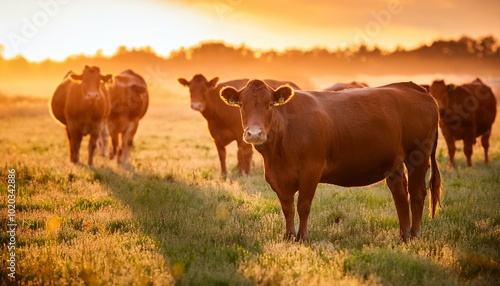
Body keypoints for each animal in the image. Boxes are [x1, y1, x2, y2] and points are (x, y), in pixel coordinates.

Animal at [221, 80, 444, 241]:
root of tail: (412, 87)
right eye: (241, 105)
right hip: (395, 161)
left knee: (417, 194)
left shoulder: (311, 169)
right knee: (400, 194)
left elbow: (303, 205)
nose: (254, 133)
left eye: (269, 104)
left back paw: (415, 235)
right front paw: (289, 236)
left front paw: (303, 238)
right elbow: (288, 208)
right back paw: (404, 236)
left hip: (418, 156)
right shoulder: (277, 177)